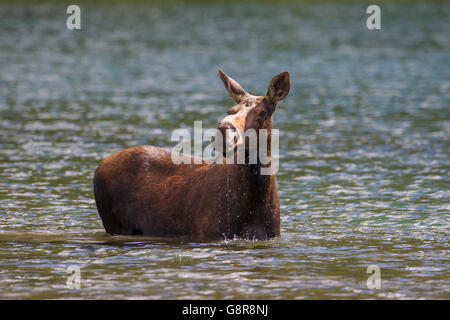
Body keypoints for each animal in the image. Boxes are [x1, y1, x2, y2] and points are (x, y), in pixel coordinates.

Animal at [94, 70, 292, 240]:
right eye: (230, 110)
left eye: (262, 113)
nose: (223, 130)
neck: (255, 201)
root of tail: (98, 167)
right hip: (114, 224)